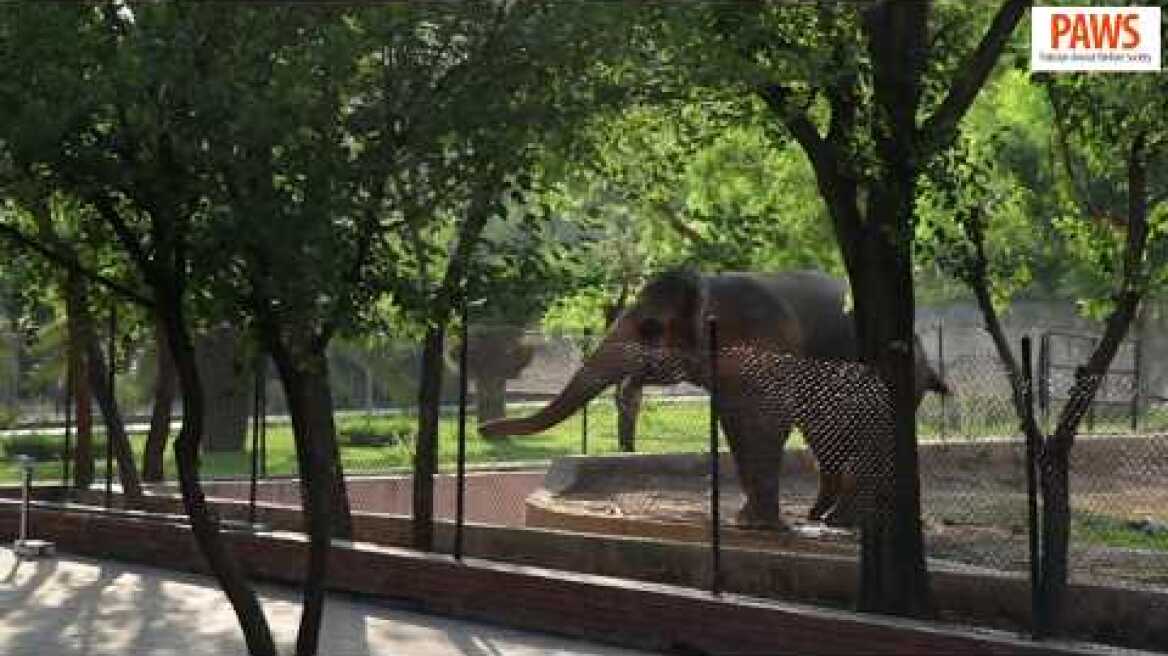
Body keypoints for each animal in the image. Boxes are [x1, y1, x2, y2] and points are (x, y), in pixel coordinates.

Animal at [480, 269, 949, 529]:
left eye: (650, 328)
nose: (483, 430)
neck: (707, 285)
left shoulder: (764, 345)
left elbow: (765, 421)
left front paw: (756, 527)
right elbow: (736, 423)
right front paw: (748, 524)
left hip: (895, 383)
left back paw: (845, 522)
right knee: (827, 438)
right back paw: (823, 518)